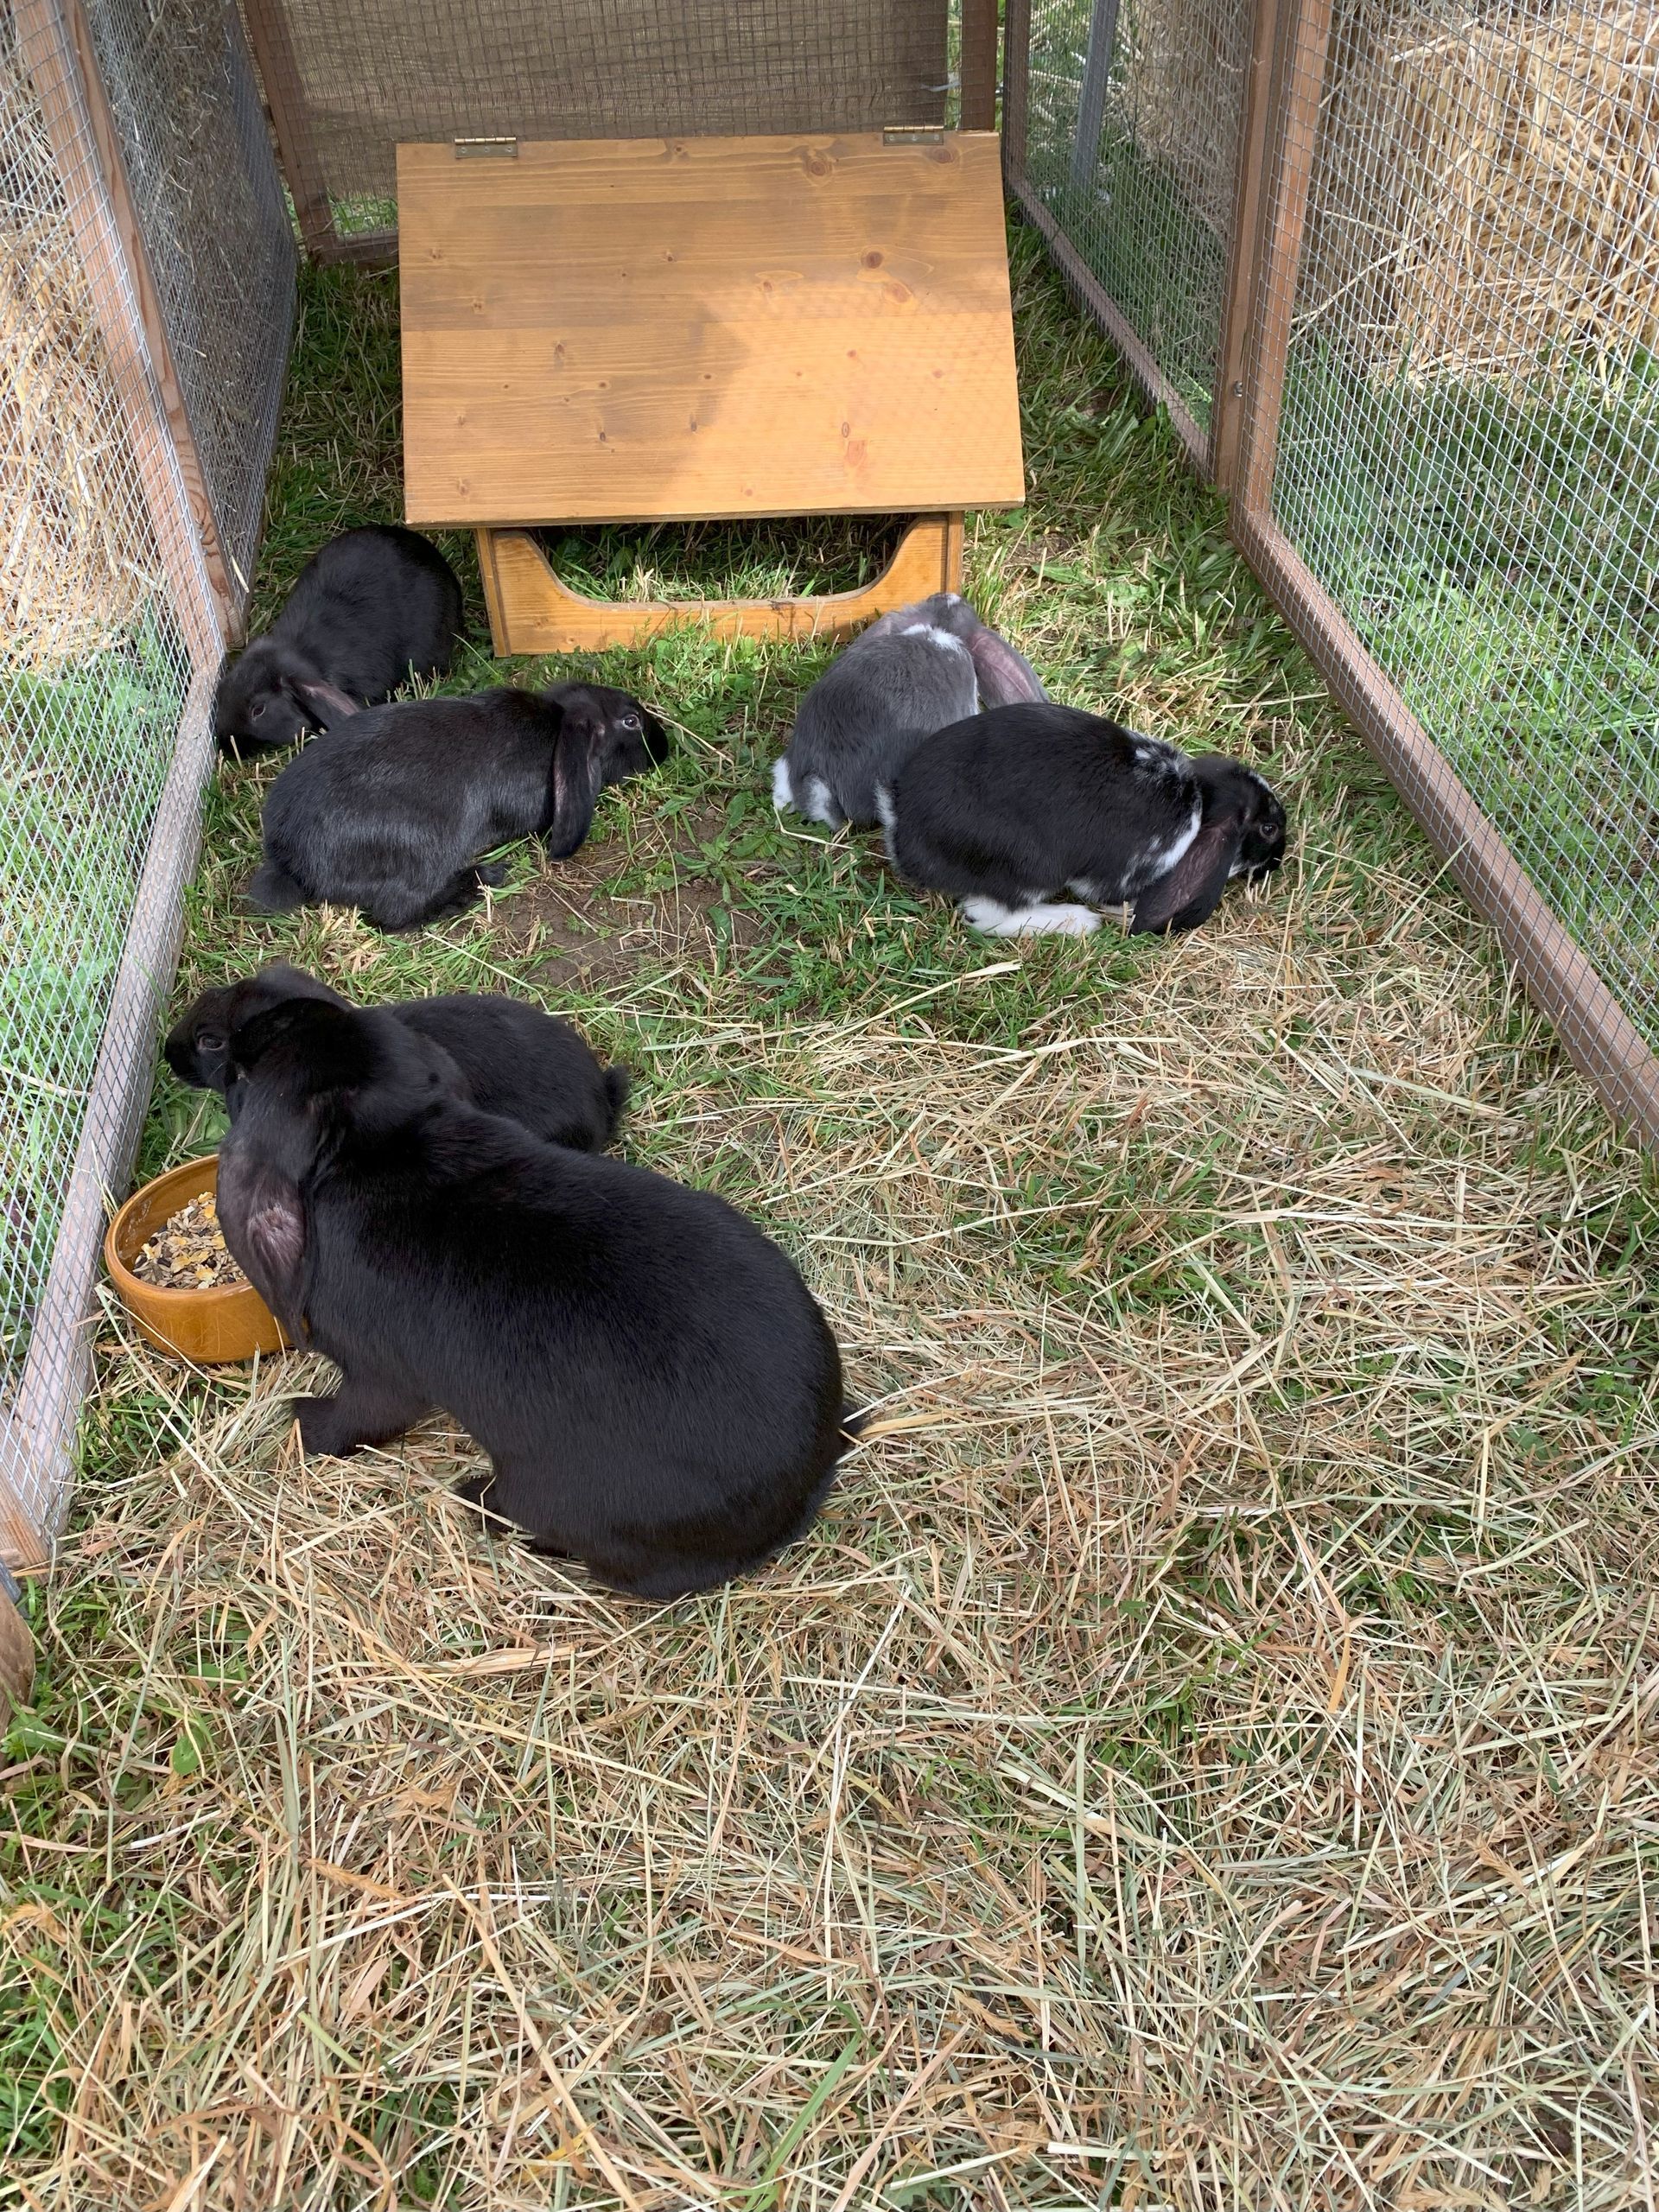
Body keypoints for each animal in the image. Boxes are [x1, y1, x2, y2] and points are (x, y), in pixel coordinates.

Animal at [214, 994, 849, 1601]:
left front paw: (301, 1422)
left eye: (248, 1075)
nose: (245, 1032)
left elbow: (359, 1418)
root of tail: (796, 1499)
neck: (387, 1145)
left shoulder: (378, 1373)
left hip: (545, 1490)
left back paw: (475, 1497)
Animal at [245, 682, 668, 931]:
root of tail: (290, 860)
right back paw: (480, 880)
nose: (665, 747)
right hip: (420, 855)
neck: (556, 725)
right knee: (394, 917)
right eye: (631, 721)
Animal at [876, 703, 1287, 937]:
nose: (1278, 862)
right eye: (1268, 828)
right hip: (1031, 869)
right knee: (986, 916)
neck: (1199, 799)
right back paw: (1078, 922)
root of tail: (902, 828)